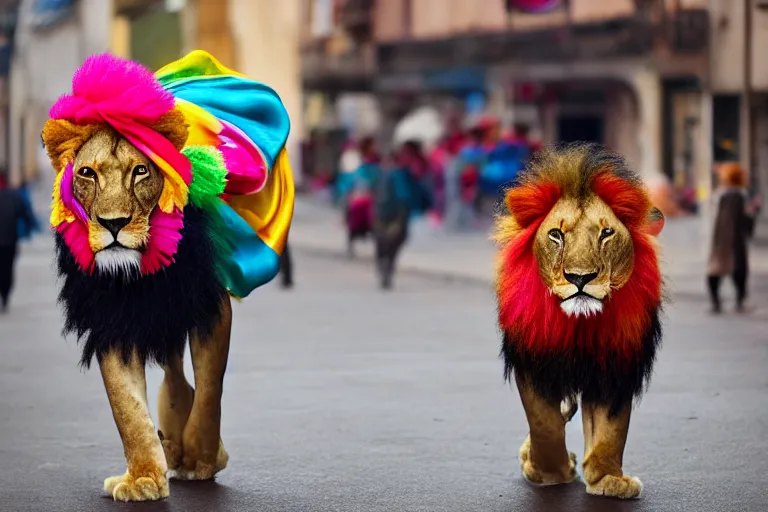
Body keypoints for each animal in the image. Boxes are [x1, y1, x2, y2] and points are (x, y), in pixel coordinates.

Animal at [496, 144, 664, 500]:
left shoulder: (614, 366)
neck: (579, 326)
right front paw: (552, 472)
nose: (580, 278)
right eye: (556, 235)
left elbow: (611, 432)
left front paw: (607, 479)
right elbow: (545, 426)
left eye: (606, 233)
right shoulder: (535, 364)